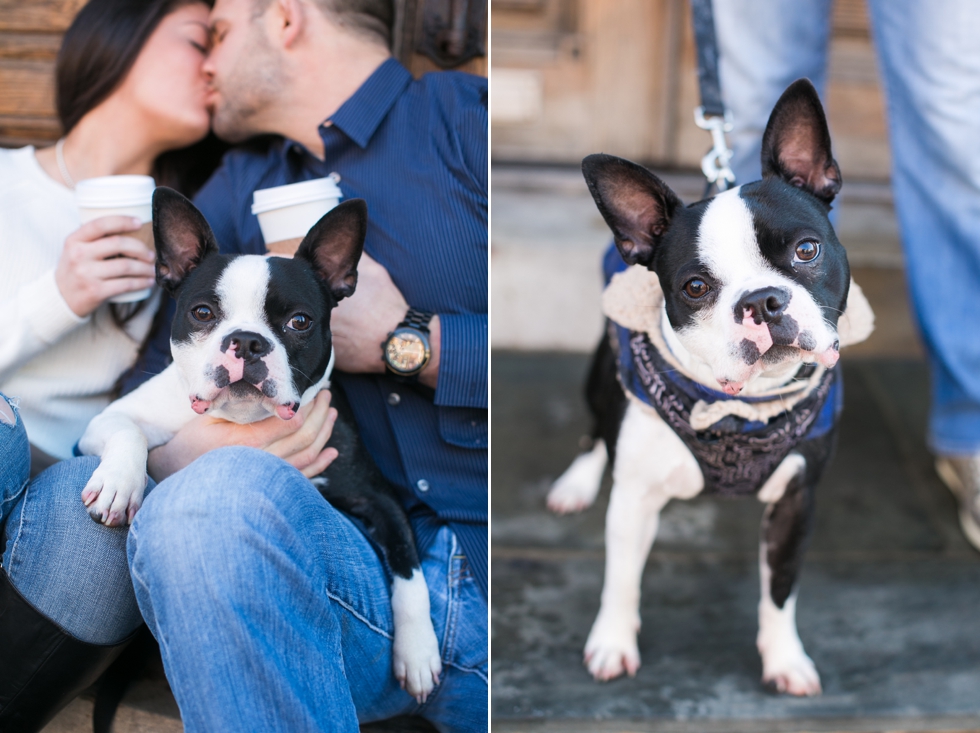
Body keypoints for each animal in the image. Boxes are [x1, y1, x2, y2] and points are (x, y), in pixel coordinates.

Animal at [548, 81, 876, 696]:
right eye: (696, 287)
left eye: (806, 250)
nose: (763, 301)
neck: (736, 412)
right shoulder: (633, 500)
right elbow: (621, 578)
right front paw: (612, 643)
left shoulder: (797, 502)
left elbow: (780, 591)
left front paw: (784, 659)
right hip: (603, 373)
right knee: (596, 427)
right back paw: (576, 481)